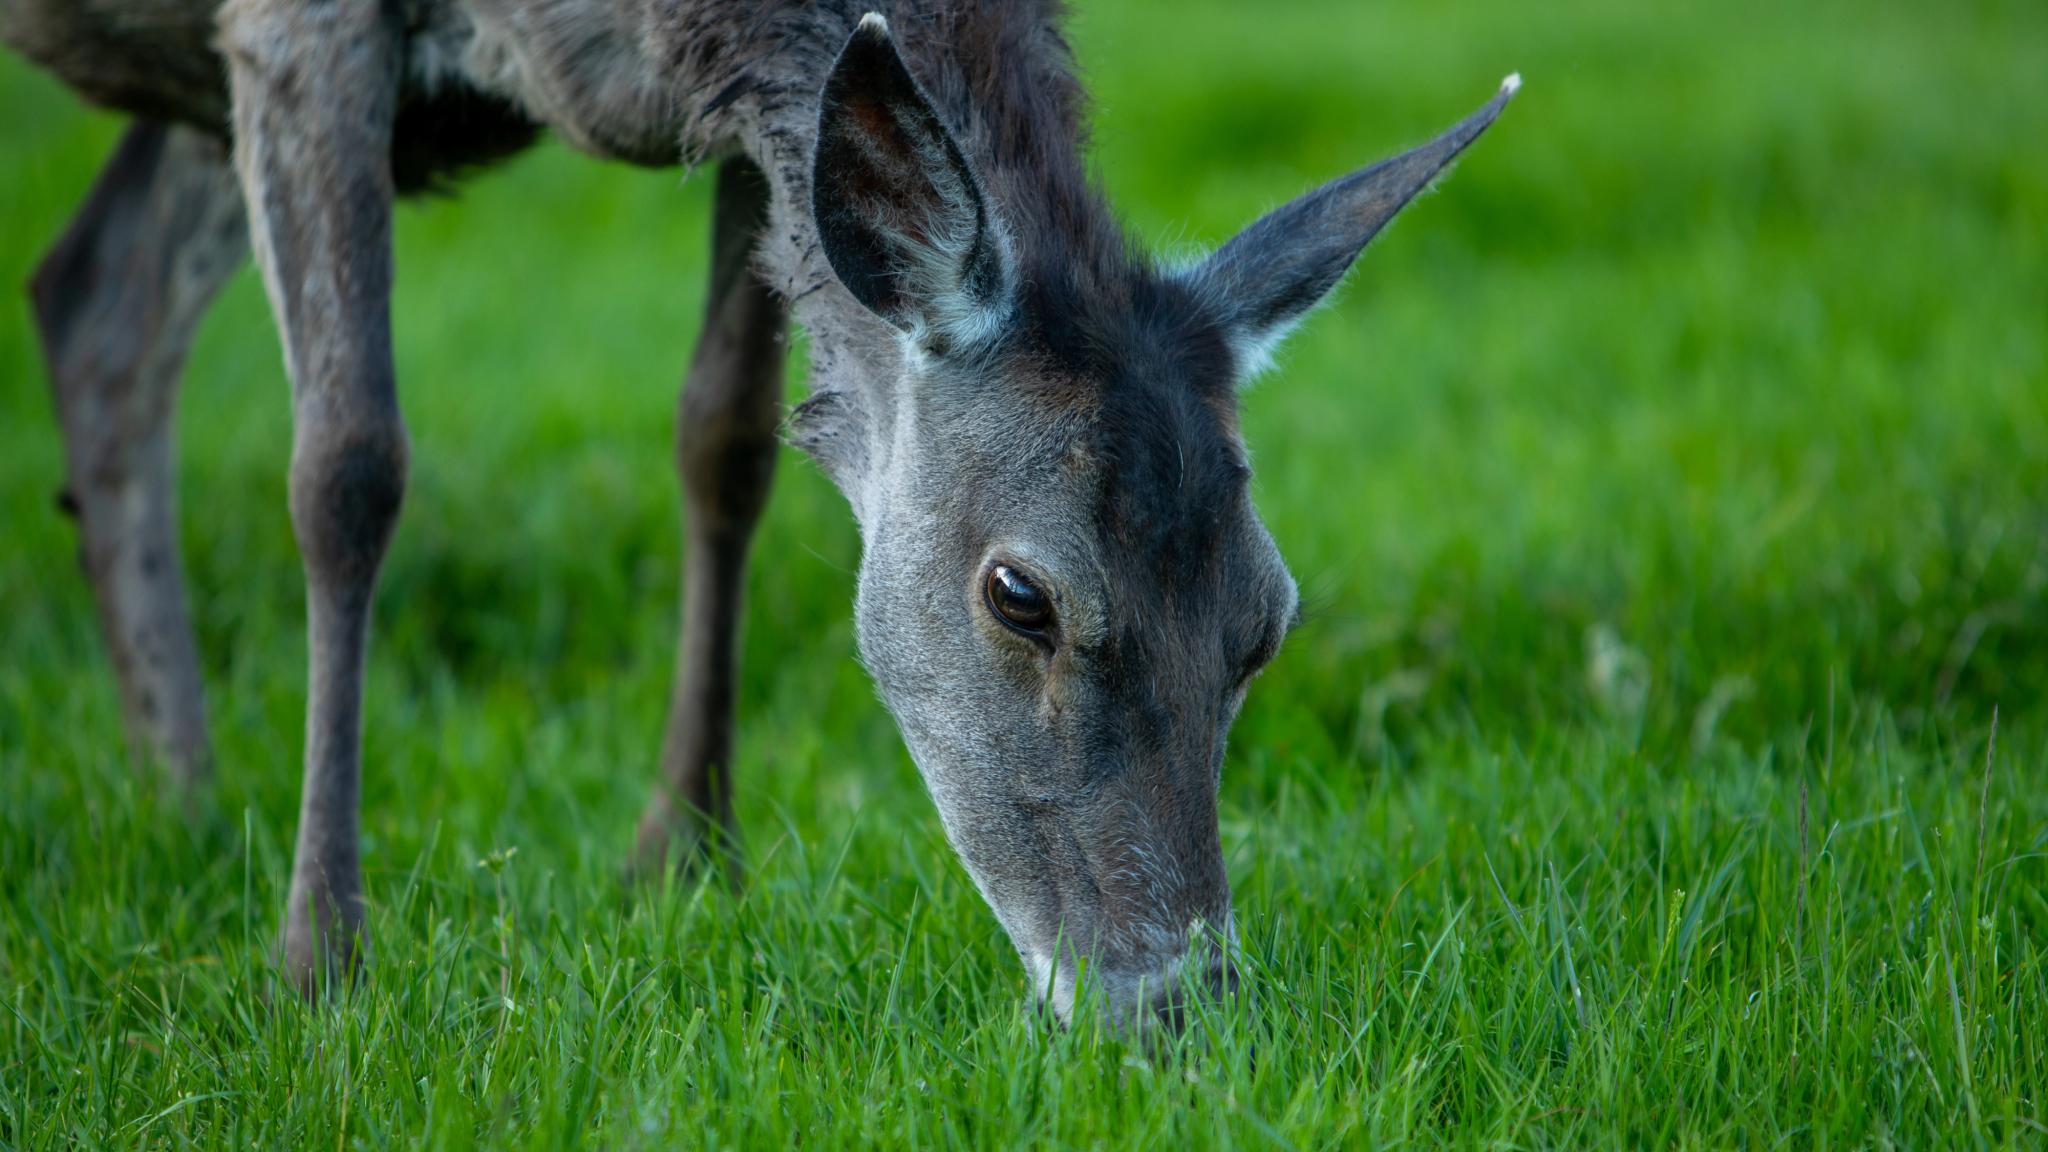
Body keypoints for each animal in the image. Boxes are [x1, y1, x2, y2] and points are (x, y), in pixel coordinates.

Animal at [3, 0, 1514, 1028]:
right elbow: (348, 467)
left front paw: (681, 854)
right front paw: (319, 960)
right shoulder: (291, 23)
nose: (1174, 1008)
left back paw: (185, 799)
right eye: (1020, 593)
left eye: (1265, 621)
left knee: (96, 291)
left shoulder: (734, 131)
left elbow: (724, 436)